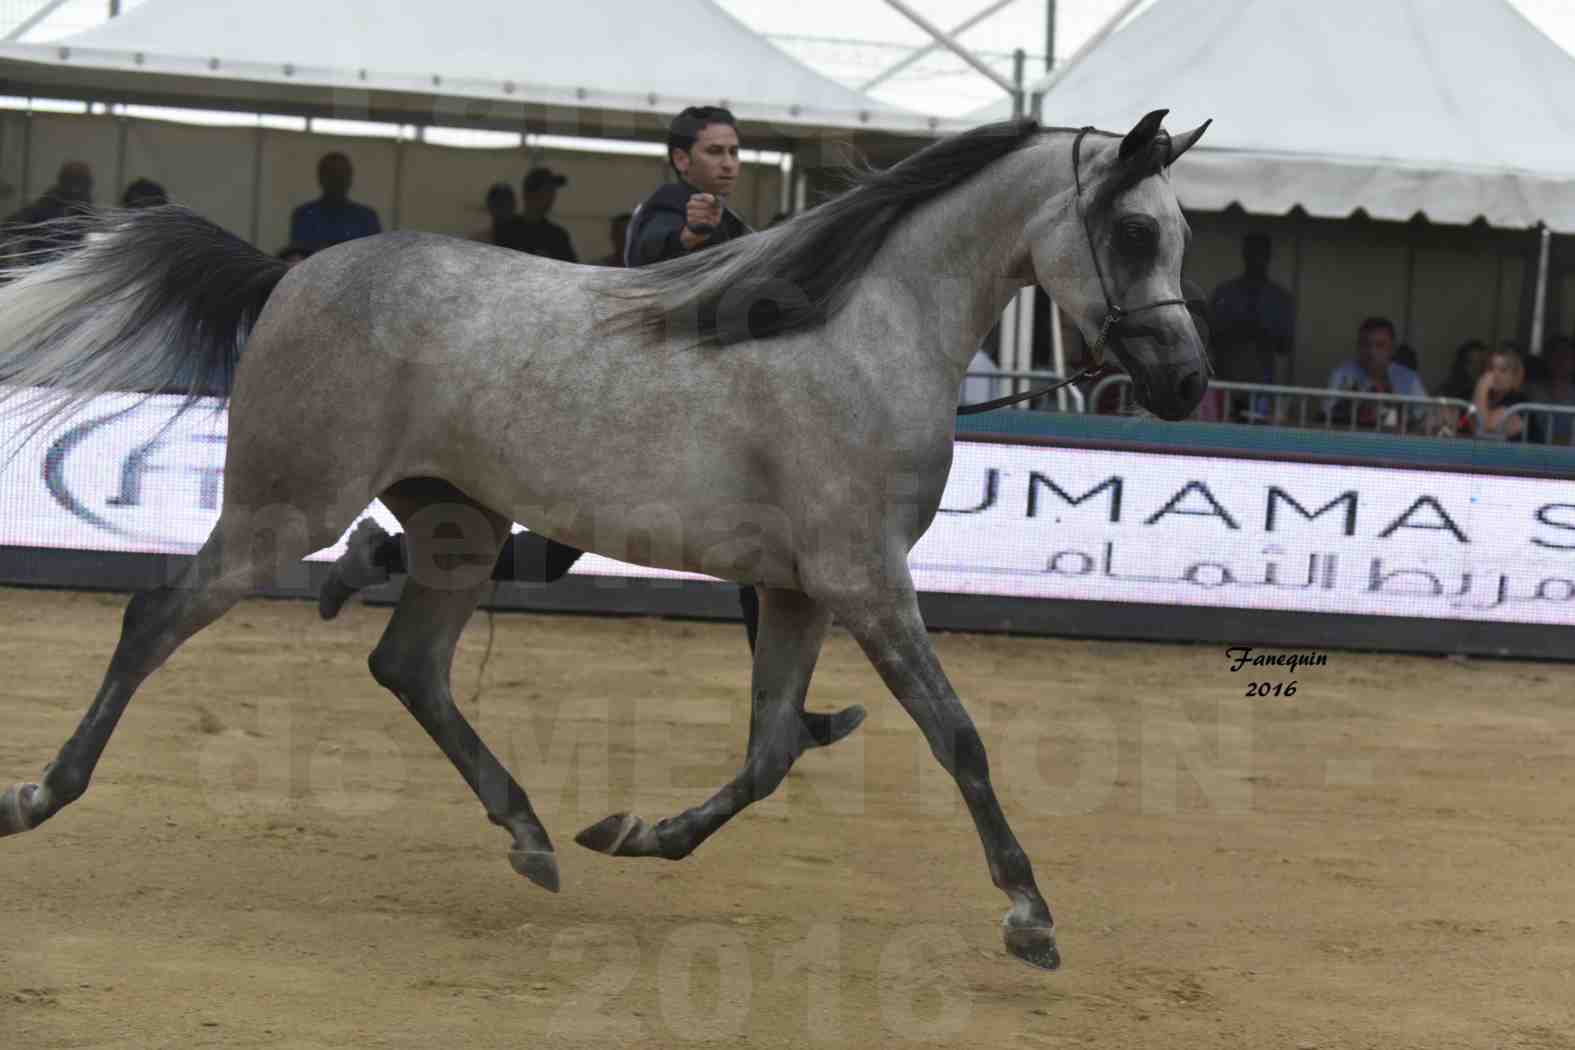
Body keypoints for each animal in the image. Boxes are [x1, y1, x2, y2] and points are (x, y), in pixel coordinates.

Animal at [0, 113, 1203, 969]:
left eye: (1180, 234)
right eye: (1135, 230)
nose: (1187, 384)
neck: (855, 337)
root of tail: (290, 272)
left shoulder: (801, 590)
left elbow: (771, 753)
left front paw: (632, 833)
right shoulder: (865, 581)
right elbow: (957, 737)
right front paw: (1030, 913)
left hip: (458, 527)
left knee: (409, 664)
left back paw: (531, 833)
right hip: (284, 507)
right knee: (155, 618)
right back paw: (38, 797)